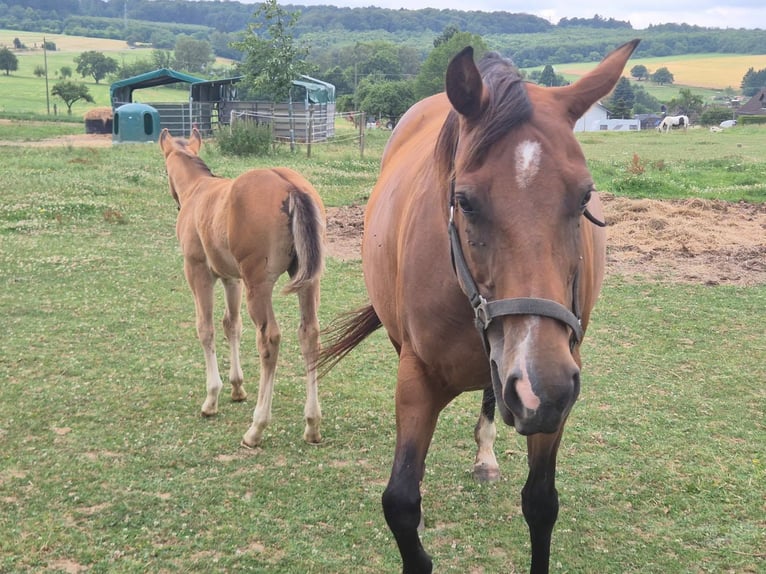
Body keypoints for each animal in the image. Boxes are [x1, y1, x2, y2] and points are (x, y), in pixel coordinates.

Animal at [159, 127, 325, 448]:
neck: (198, 190)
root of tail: (291, 188)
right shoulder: (231, 278)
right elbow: (231, 325)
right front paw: (237, 387)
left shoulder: (198, 271)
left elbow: (206, 328)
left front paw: (212, 398)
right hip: (308, 282)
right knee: (309, 335)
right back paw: (311, 424)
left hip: (258, 285)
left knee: (269, 340)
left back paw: (256, 428)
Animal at [319, 39, 639, 573]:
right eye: (465, 201)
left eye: (584, 196)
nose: (541, 388)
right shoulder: (418, 377)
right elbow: (401, 502)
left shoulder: (552, 393)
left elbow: (541, 502)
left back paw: (486, 455)